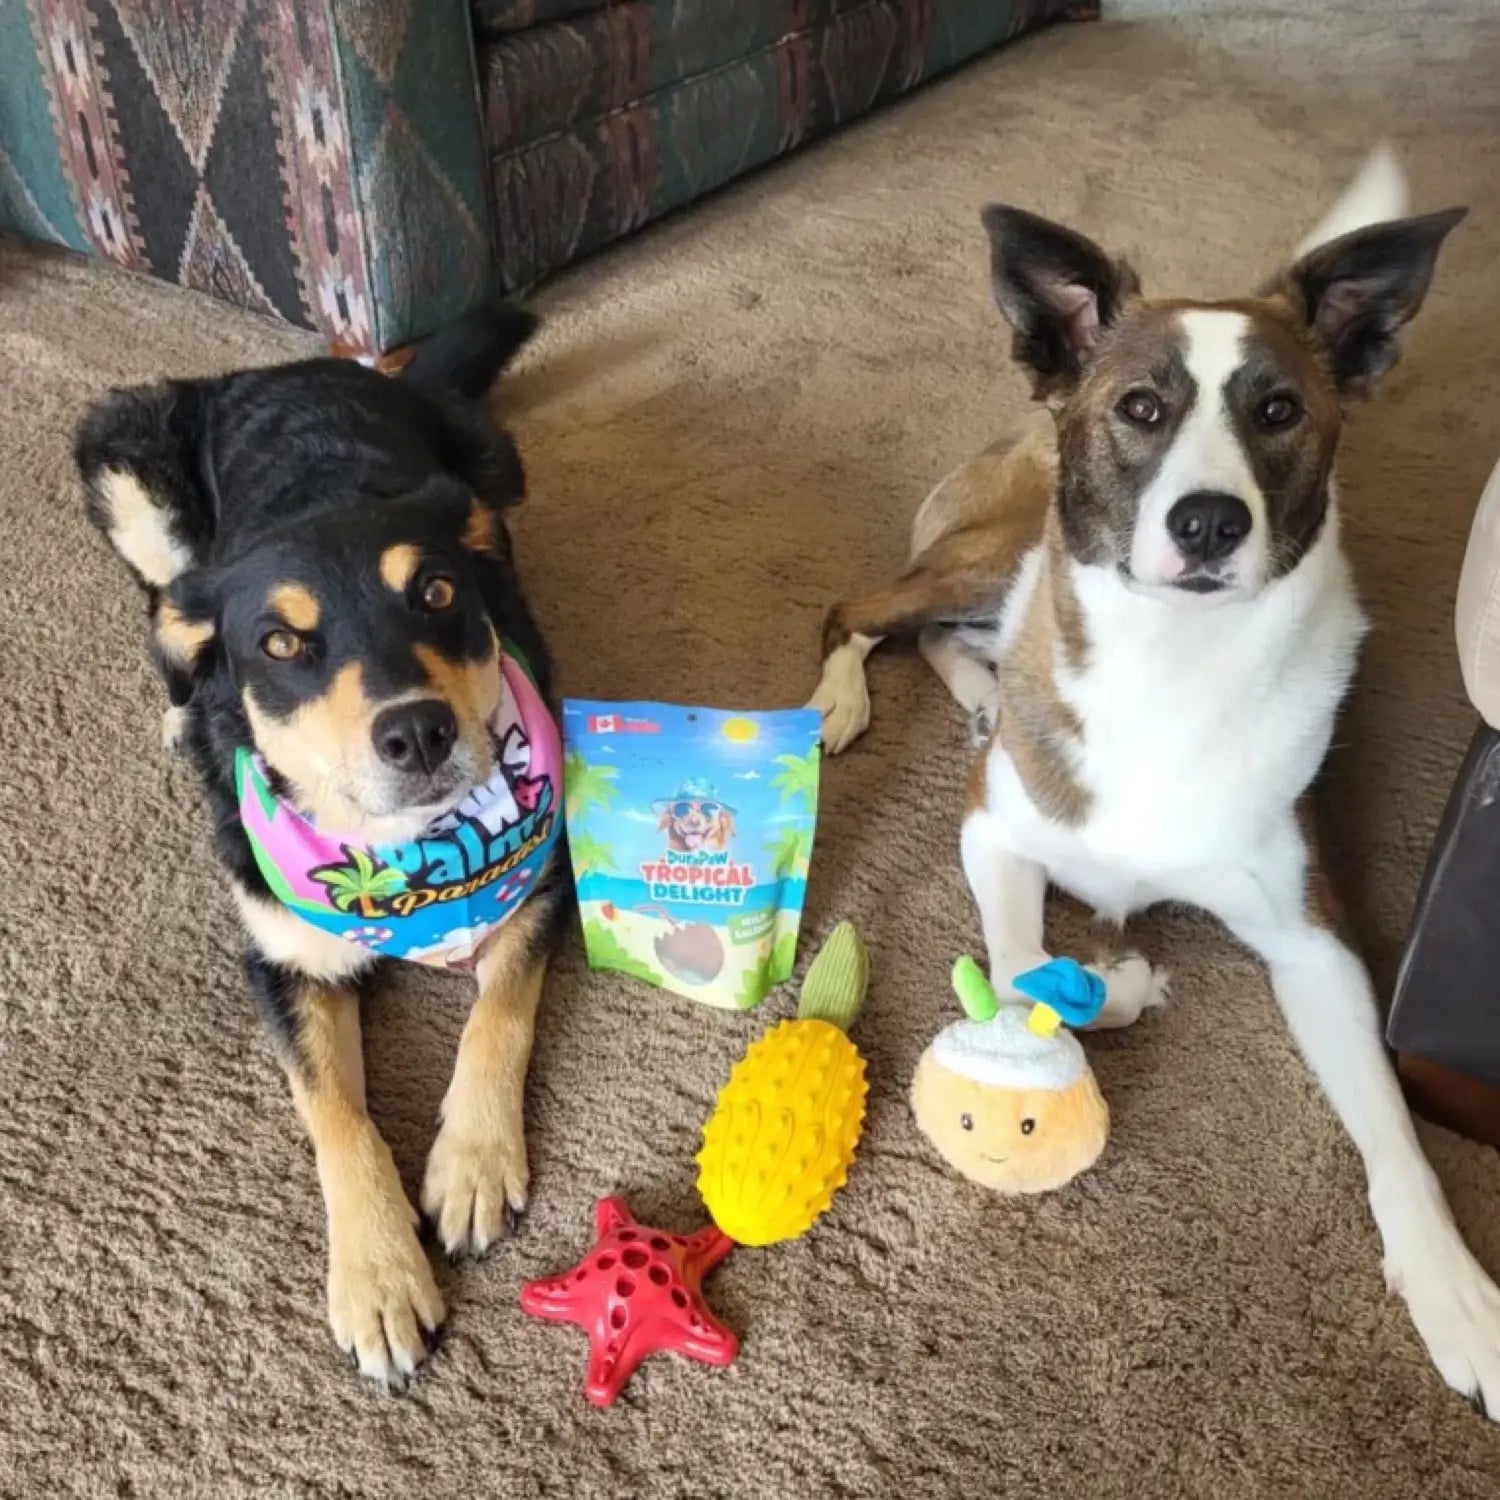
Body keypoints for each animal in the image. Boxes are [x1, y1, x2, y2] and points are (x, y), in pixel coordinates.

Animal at [74, 310, 564, 1386]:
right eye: (281, 644)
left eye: (436, 592)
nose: (417, 733)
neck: (403, 859)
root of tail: (301, 364)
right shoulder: (280, 956)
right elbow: (333, 1109)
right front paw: (379, 1275)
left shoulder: (544, 879)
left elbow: (500, 1010)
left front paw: (473, 1159)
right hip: (122, 460)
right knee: (163, 617)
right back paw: (182, 713)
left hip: (496, 466)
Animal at [816, 155, 1500, 1416]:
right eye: (1141, 407)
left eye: (1278, 411)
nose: (1209, 521)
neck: (1176, 663)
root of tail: (1019, 427)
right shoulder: (993, 834)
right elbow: (1021, 963)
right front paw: (1115, 990)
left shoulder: (1317, 943)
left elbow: (1396, 1133)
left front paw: (1456, 1293)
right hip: (985, 560)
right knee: (861, 610)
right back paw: (846, 698)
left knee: (951, 638)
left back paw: (979, 690)